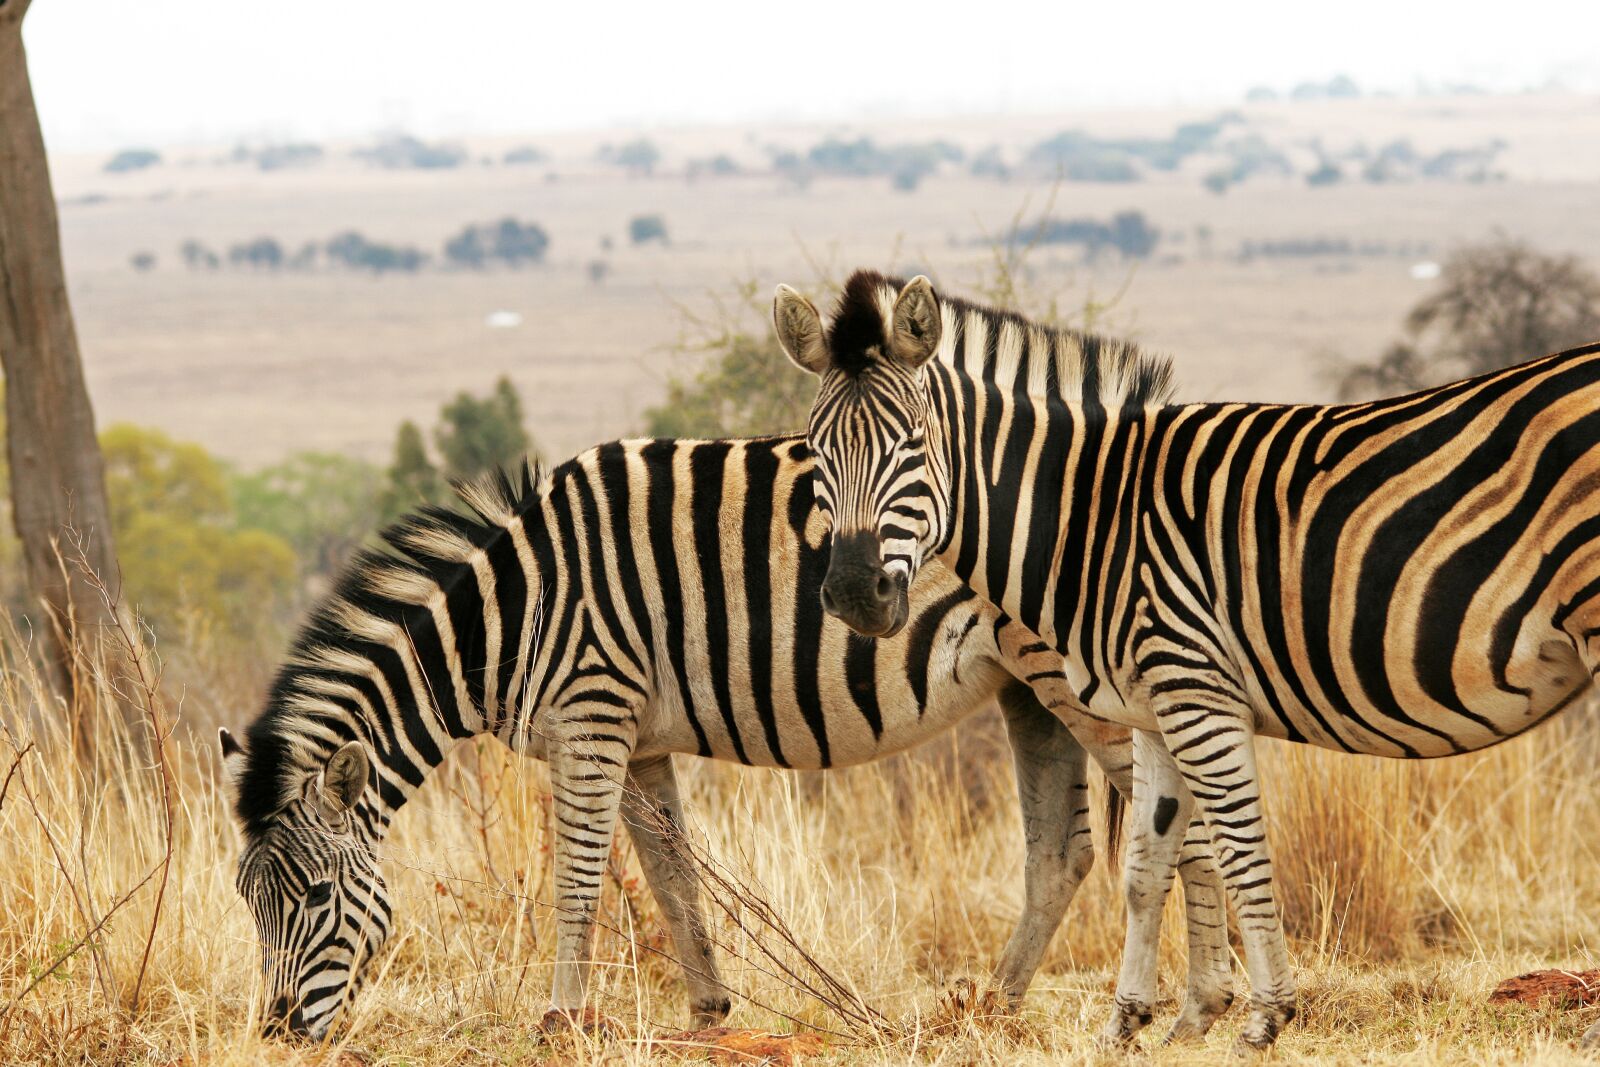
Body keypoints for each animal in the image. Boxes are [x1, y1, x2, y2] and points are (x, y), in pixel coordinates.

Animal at [220, 434, 1234, 1041]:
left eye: (316, 896)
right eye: (249, 902)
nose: (274, 1031)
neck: (508, 618)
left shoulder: (592, 713)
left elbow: (578, 881)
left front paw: (561, 1019)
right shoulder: (636, 739)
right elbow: (670, 877)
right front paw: (709, 1013)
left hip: (1086, 676)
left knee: (1186, 822)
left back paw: (1199, 1010)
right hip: (1027, 687)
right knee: (1061, 851)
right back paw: (990, 1008)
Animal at [776, 268, 1600, 1052]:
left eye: (911, 445)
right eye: (815, 451)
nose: (854, 592)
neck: (1091, 519)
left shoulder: (1198, 692)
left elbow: (1240, 853)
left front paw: (1266, 1018)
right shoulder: (1154, 707)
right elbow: (1146, 865)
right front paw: (1128, 1022)